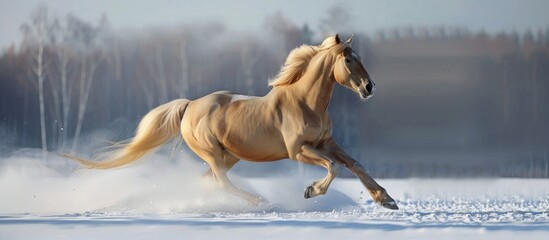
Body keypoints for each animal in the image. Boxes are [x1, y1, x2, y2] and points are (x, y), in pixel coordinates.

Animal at [66, 34, 398, 210]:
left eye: (359, 57)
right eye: (348, 59)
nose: (369, 87)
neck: (305, 102)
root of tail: (189, 107)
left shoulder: (326, 142)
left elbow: (354, 164)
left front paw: (387, 199)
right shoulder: (299, 150)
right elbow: (334, 168)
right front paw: (310, 191)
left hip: (229, 157)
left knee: (209, 181)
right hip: (213, 154)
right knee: (222, 182)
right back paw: (261, 202)